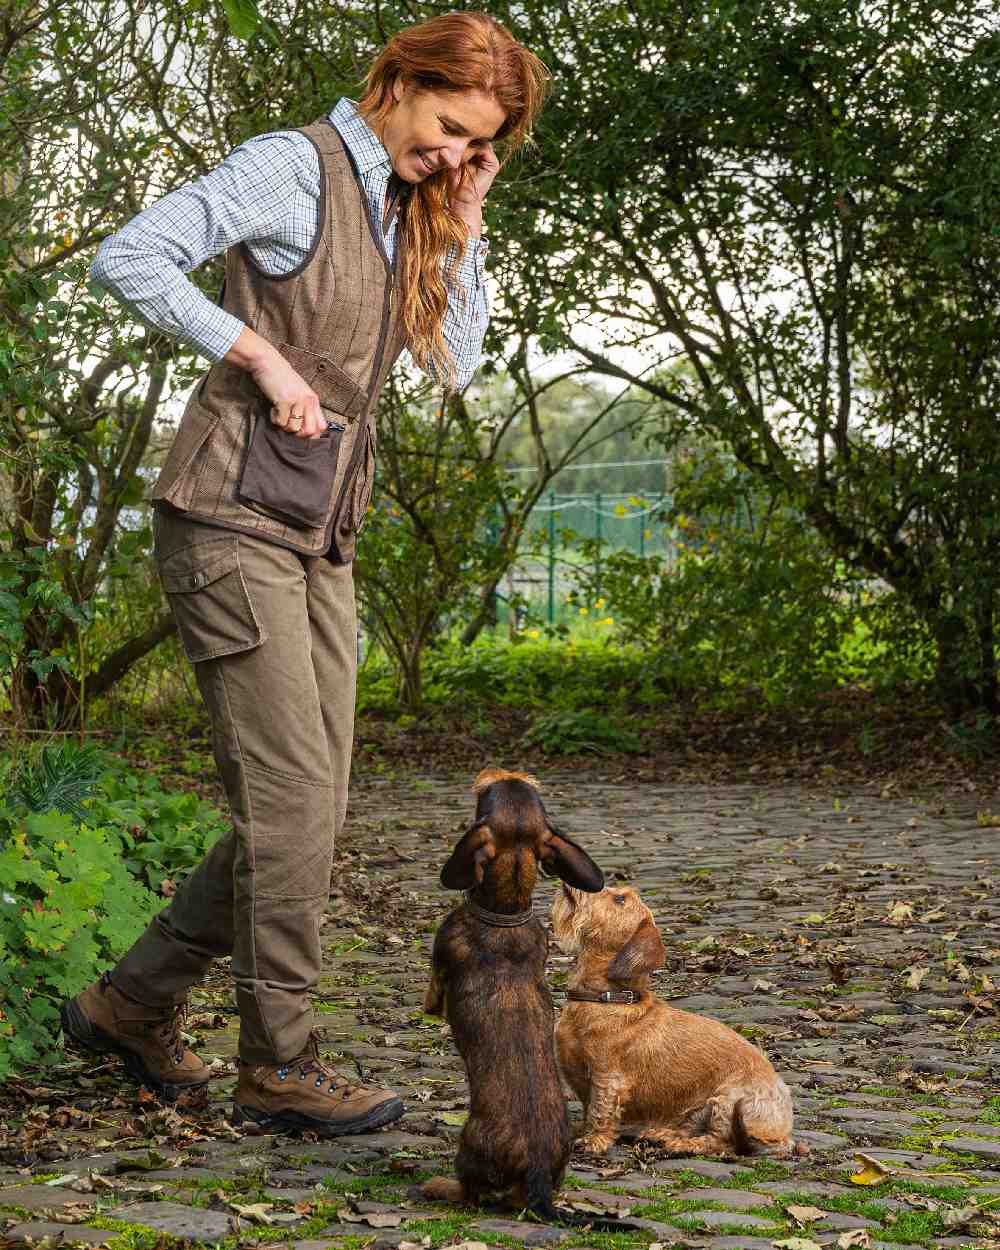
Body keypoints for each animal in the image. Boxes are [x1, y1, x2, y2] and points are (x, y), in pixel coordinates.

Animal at [550, 885, 800, 1155]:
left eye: (620, 899)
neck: (605, 999)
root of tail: (783, 1134)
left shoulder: (607, 1076)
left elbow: (600, 1109)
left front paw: (594, 1140)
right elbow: (588, 1107)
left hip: (728, 1101)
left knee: (719, 1142)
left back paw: (680, 1144)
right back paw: (660, 1135)